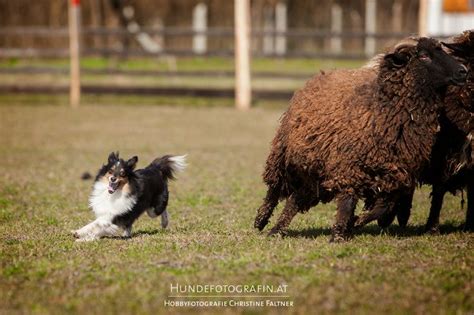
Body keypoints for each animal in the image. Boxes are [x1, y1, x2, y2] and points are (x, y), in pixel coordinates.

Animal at [254, 38, 468, 243]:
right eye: (423, 56)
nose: (463, 71)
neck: (381, 107)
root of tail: (321, 75)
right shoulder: (349, 167)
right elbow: (347, 203)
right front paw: (338, 236)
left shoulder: (394, 175)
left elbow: (383, 206)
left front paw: (354, 223)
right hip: (283, 155)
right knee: (273, 190)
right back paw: (261, 221)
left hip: (315, 170)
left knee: (294, 200)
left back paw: (277, 230)